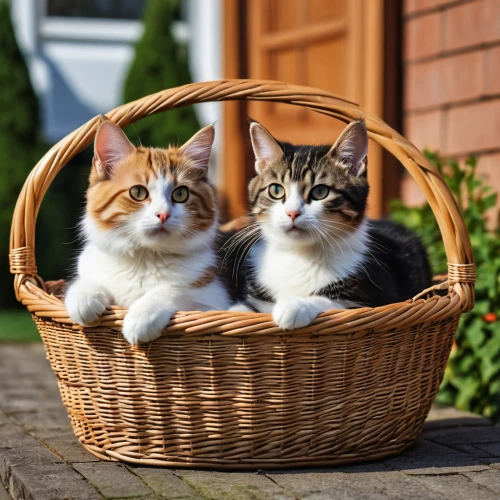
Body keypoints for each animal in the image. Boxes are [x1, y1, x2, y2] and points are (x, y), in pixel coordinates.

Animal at [65, 118, 230, 344]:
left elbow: (176, 290)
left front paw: (143, 314)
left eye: (180, 194)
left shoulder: (213, 300)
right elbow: (87, 282)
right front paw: (84, 294)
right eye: (138, 192)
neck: (145, 257)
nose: (163, 214)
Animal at [232, 119, 432, 330]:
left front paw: (294, 305)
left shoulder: (372, 301)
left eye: (320, 192)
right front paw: (239, 311)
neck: (299, 254)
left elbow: (333, 303)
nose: (292, 212)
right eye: (276, 190)